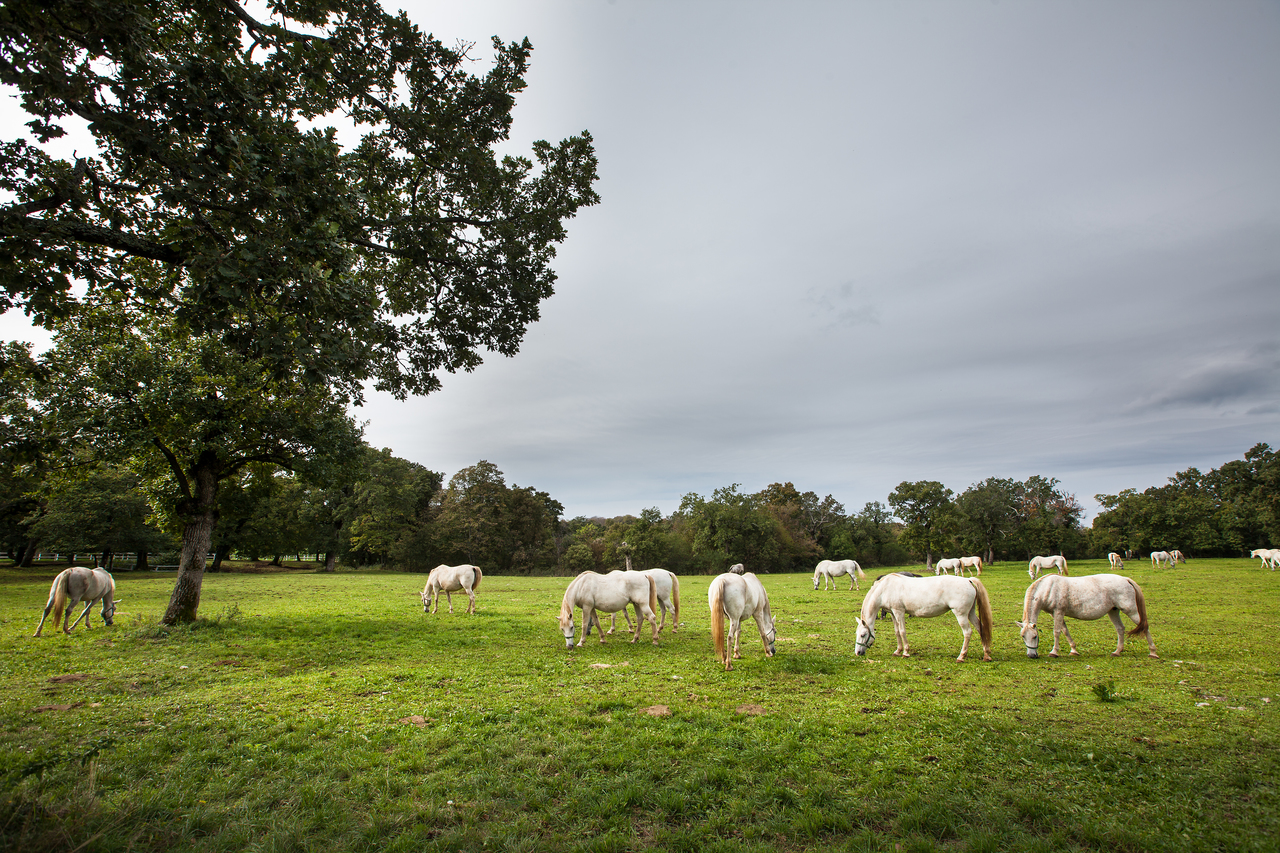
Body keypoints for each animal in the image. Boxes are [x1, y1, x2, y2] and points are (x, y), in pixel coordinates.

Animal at [855, 573, 993, 660]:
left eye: (863, 634)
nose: (857, 652)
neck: (884, 589)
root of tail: (968, 580)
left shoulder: (899, 612)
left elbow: (902, 631)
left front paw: (905, 652)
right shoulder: (893, 613)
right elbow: (897, 632)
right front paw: (898, 651)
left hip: (961, 614)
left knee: (968, 632)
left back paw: (961, 656)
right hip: (970, 613)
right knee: (980, 628)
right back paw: (986, 654)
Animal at [1018, 571, 1162, 655]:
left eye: (1035, 637)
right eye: (1023, 637)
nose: (1031, 656)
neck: (1049, 587)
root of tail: (1125, 579)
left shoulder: (1058, 611)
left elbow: (1057, 631)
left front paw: (1054, 652)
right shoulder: (1056, 613)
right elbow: (1065, 631)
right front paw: (1074, 650)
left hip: (1131, 611)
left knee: (1145, 626)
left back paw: (1153, 652)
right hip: (1113, 611)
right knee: (1120, 629)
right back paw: (1117, 651)